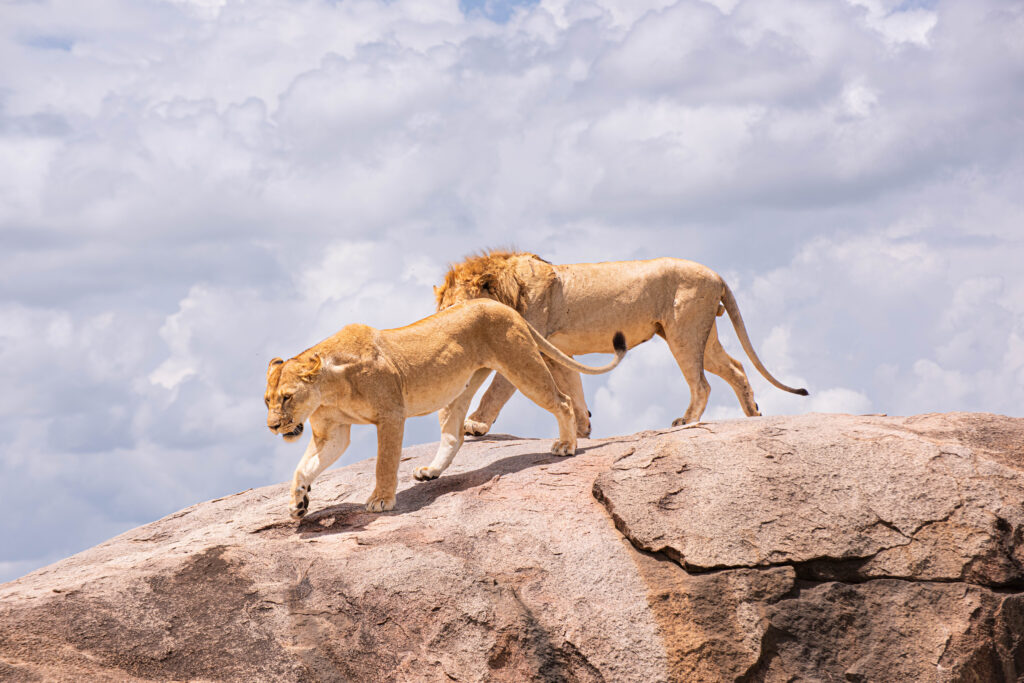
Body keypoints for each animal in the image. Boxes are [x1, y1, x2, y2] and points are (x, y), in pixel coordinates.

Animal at [264, 298, 626, 518]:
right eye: (267, 400)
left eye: (287, 397)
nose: (272, 427)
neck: (328, 389)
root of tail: (500, 304)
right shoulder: (333, 433)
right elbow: (302, 468)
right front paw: (298, 503)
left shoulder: (391, 415)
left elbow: (384, 462)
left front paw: (381, 500)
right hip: (458, 390)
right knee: (455, 436)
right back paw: (431, 471)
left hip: (522, 365)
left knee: (562, 401)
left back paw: (566, 445)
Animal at [435, 250, 808, 436]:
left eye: (454, 309)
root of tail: (717, 275)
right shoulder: (558, 351)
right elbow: (572, 386)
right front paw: (582, 427)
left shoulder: (524, 345)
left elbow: (497, 388)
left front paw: (475, 425)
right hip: (702, 335)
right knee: (736, 367)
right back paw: (753, 415)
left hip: (683, 332)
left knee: (701, 383)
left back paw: (686, 421)